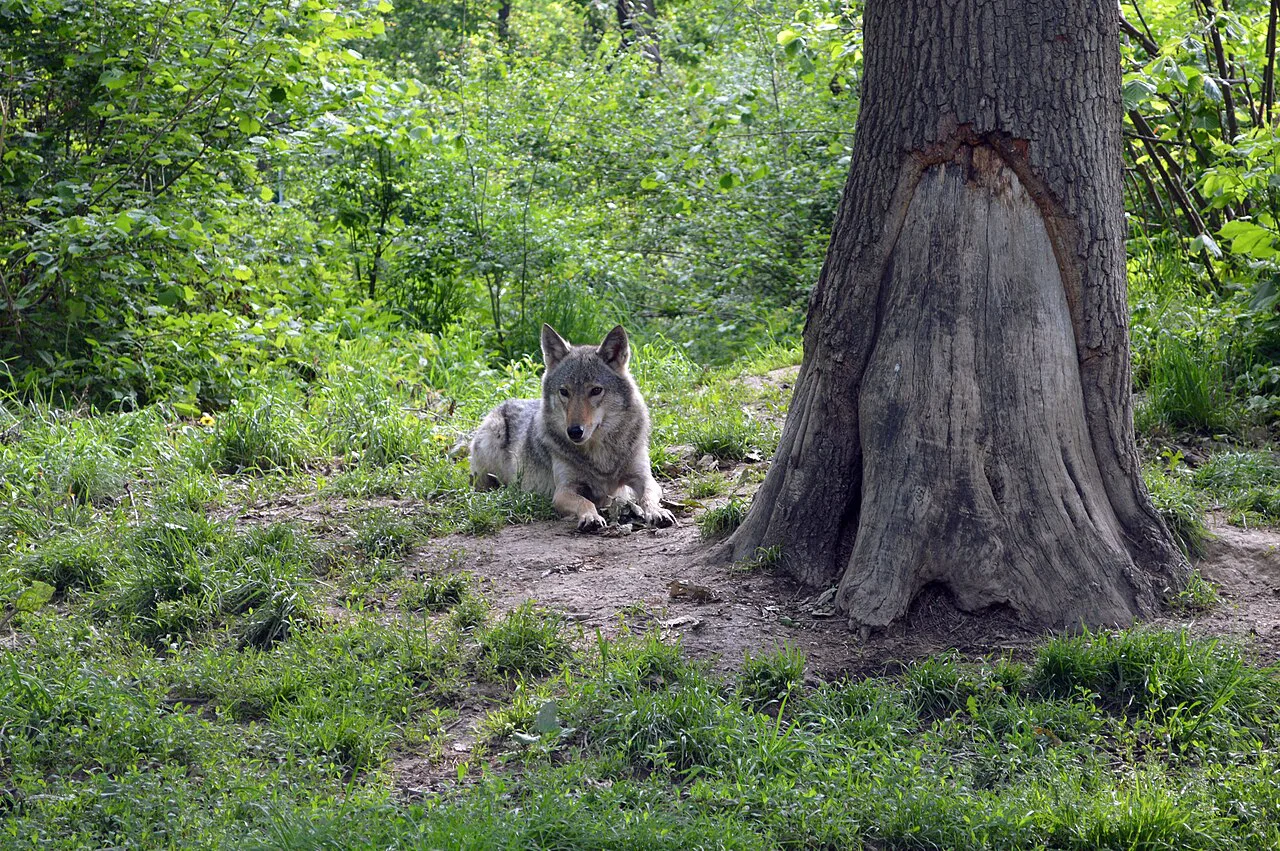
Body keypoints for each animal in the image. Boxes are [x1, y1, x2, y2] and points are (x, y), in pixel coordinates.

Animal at [465, 324, 676, 532]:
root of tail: (502, 404)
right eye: (564, 392)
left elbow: (647, 496)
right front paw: (591, 517)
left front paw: (657, 512)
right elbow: (585, 502)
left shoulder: (644, 478)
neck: (601, 457)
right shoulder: (563, 491)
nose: (574, 431)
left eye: (596, 390)